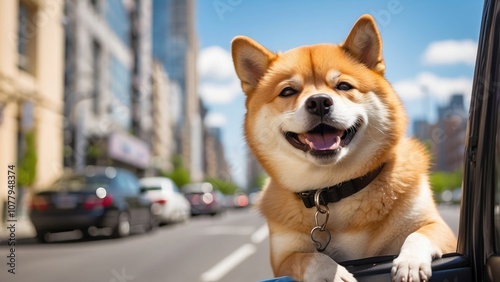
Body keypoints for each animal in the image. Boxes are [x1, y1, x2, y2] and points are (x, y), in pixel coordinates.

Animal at [230, 14, 458, 282]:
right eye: (288, 91)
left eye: (344, 86)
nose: (319, 102)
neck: (332, 190)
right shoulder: (282, 259)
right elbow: (309, 258)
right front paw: (335, 272)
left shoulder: (436, 227)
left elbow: (419, 234)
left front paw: (410, 262)